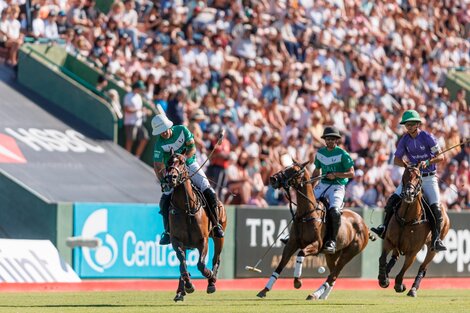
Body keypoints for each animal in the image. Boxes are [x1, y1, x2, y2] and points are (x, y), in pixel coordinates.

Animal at [165, 150, 228, 302]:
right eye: (168, 161)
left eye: (182, 161)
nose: (171, 177)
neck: (186, 208)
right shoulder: (177, 241)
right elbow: (182, 263)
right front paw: (188, 285)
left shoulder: (202, 240)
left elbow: (201, 264)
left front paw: (209, 274)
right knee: (183, 263)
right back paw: (180, 291)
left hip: (219, 236)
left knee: (216, 258)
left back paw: (212, 282)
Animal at [258, 161, 370, 300]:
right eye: (285, 167)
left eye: (294, 170)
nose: (273, 179)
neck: (306, 214)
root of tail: (364, 225)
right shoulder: (291, 243)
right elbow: (281, 264)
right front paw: (265, 289)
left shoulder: (316, 245)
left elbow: (301, 253)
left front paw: (297, 281)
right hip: (332, 254)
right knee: (333, 274)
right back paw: (323, 295)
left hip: (350, 252)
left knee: (334, 274)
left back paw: (314, 294)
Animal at [376, 165, 450, 296]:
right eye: (404, 176)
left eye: (418, 177)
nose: (408, 193)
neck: (406, 219)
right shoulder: (389, 241)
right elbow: (382, 258)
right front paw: (383, 279)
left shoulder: (413, 252)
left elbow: (402, 271)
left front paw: (400, 285)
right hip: (398, 244)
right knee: (395, 257)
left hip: (432, 249)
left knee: (423, 267)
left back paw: (413, 289)